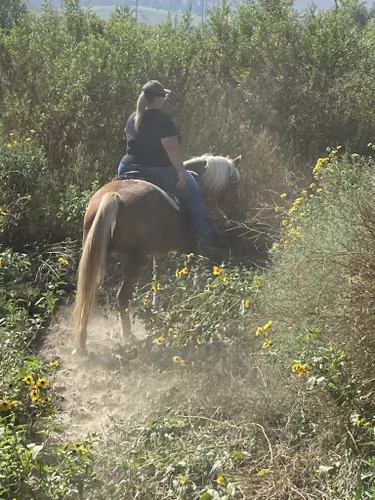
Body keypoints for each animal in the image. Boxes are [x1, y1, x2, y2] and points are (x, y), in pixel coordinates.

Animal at [71, 154, 242, 354]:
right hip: (135, 257)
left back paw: (81, 346)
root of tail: (112, 196)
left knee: (87, 292)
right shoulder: (192, 248)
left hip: (96, 252)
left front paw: (156, 309)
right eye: (234, 183)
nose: (235, 212)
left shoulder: (159, 253)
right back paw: (128, 337)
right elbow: (193, 277)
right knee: (122, 296)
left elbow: (157, 280)